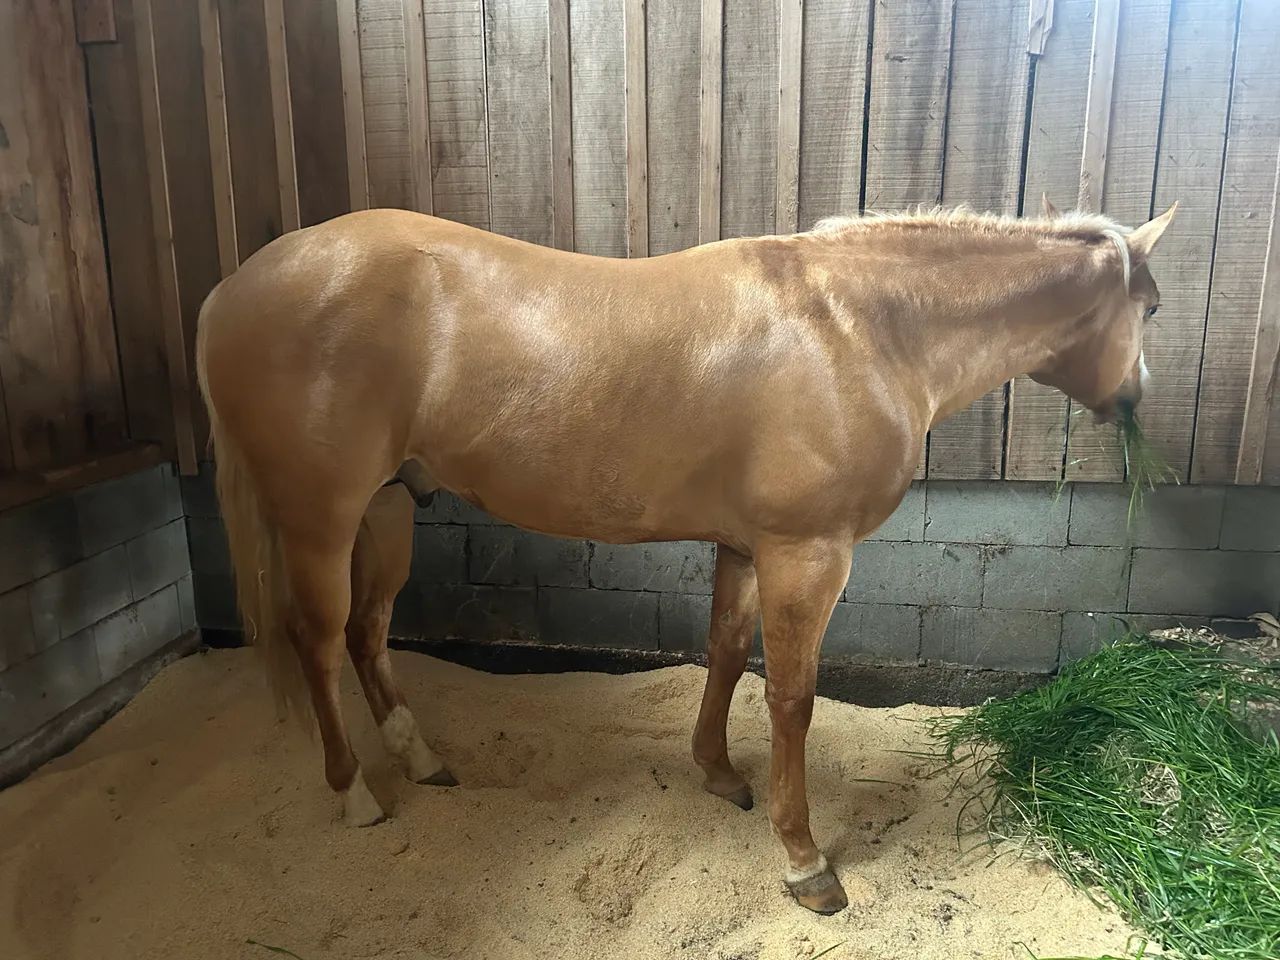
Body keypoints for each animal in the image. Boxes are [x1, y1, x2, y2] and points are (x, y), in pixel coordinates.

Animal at [195, 197, 1175, 913]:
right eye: (1154, 307)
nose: (1135, 399)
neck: (858, 328)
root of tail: (231, 289)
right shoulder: (807, 555)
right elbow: (790, 699)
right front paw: (804, 861)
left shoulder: (745, 547)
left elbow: (725, 655)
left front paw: (717, 773)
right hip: (321, 521)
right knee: (320, 644)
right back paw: (355, 793)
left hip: (392, 507)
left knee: (369, 633)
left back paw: (421, 759)